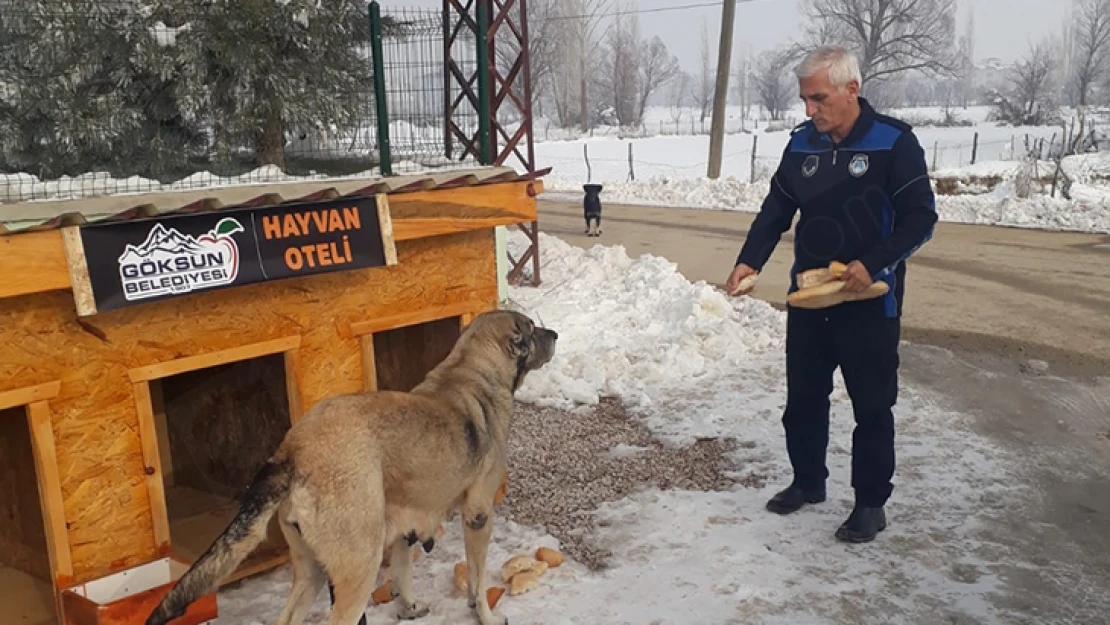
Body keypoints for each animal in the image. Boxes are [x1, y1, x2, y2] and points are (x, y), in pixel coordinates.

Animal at [147, 308, 559, 625]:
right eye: (530, 329)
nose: (554, 333)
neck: (471, 371)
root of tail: (293, 452)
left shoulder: (407, 520)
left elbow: (403, 570)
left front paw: (408, 607)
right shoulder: (478, 515)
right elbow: (477, 577)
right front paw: (484, 613)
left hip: (311, 571)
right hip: (358, 567)